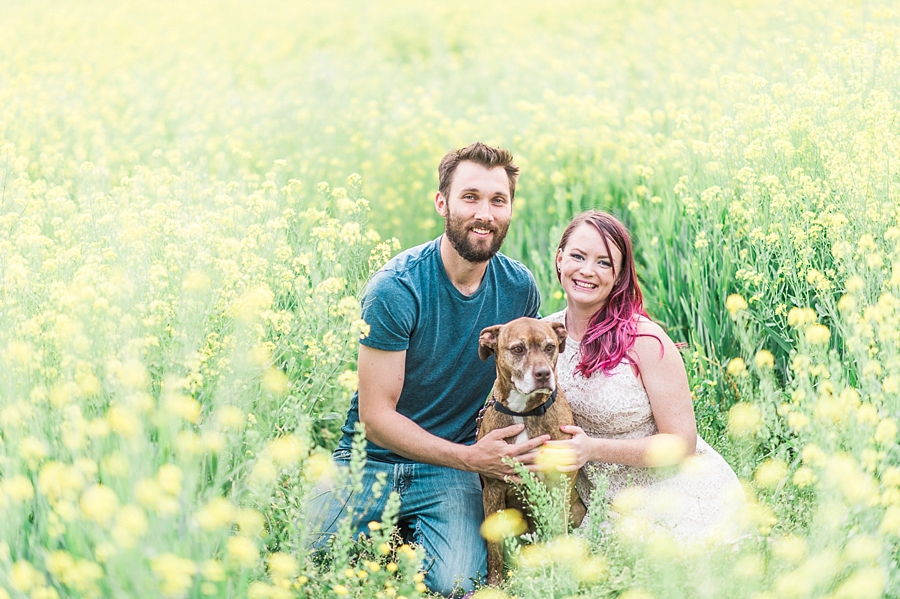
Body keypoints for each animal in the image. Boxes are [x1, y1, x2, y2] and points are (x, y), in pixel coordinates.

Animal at [474, 318, 588, 584]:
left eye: (550, 347)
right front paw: (495, 584)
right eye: (518, 349)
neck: (523, 411)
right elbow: (494, 548)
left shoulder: (559, 483)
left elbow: (557, 531)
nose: (543, 374)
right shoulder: (492, 489)